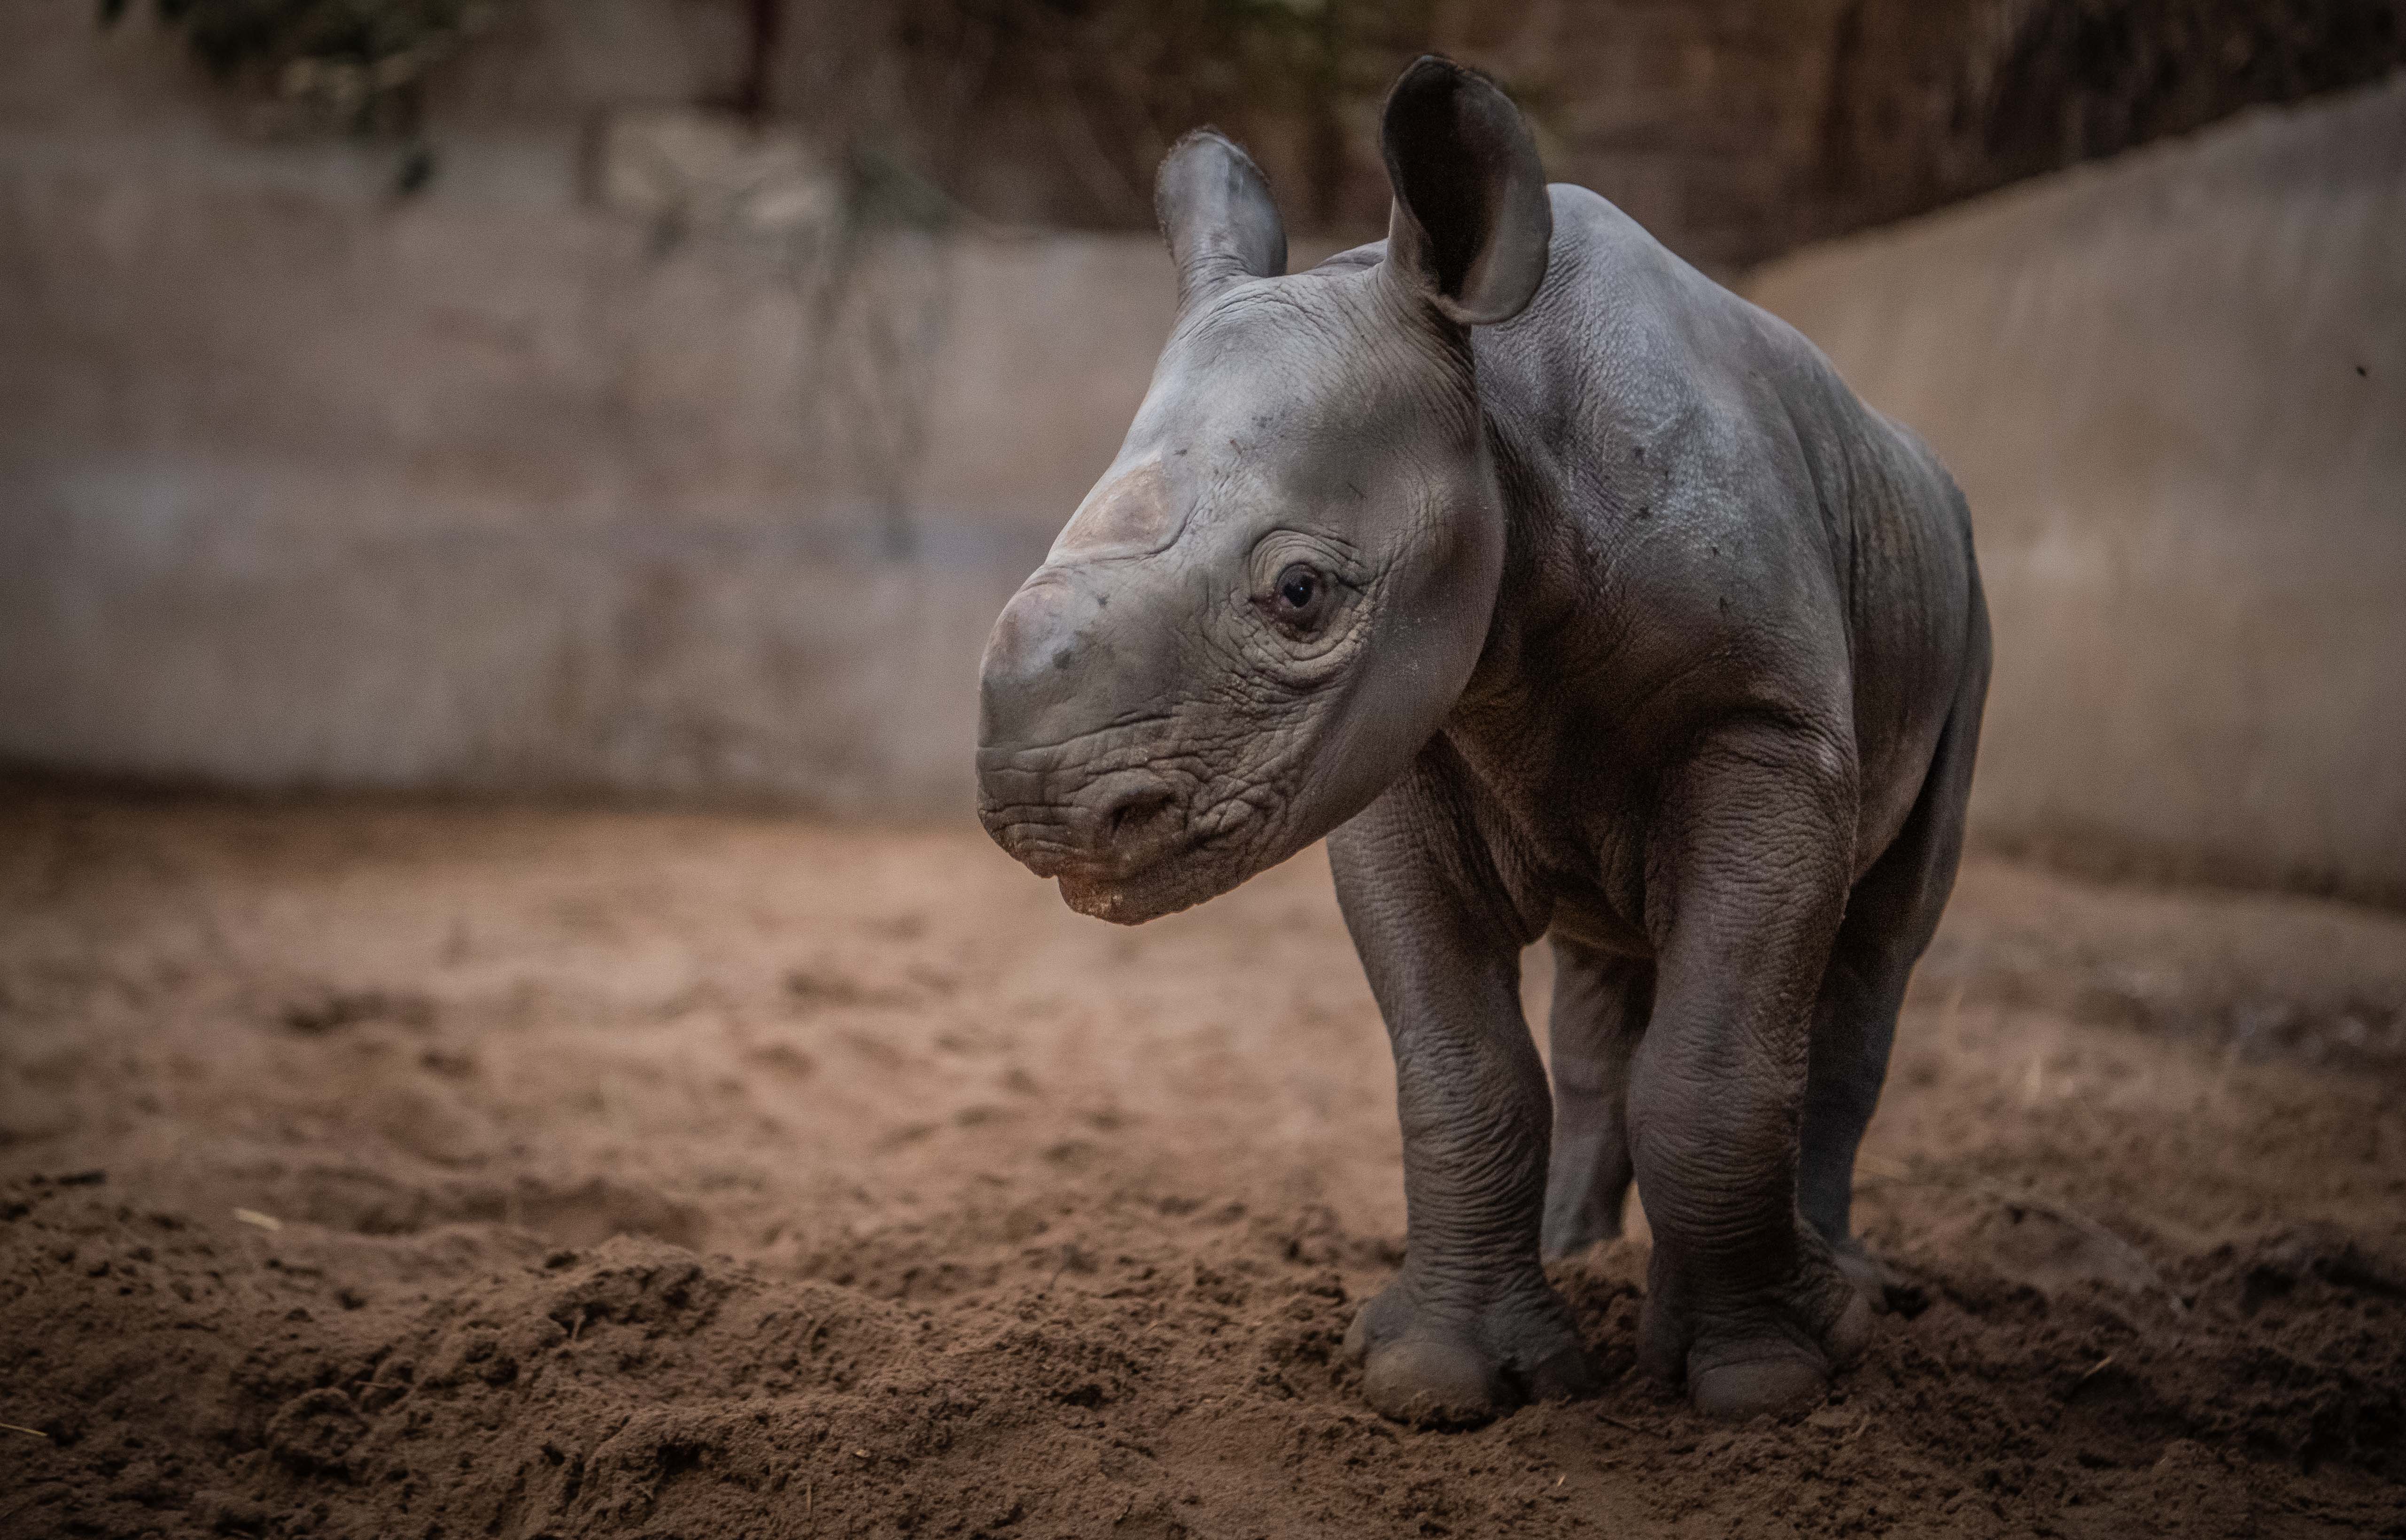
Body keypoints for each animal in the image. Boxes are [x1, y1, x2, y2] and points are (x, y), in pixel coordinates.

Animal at [977, 54, 1992, 1424]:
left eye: (1300, 593)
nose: (1043, 809)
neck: (1500, 414)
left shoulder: (1767, 731)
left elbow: (1719, 1064)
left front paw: (1764, 1377)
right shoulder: (1399, 746)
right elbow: (1461, 1067)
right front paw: (1442, 1377)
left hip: (1959, 596)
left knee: (1876, 947)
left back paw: (1843, 1289)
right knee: (1605, 965)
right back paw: (1584, 1250)